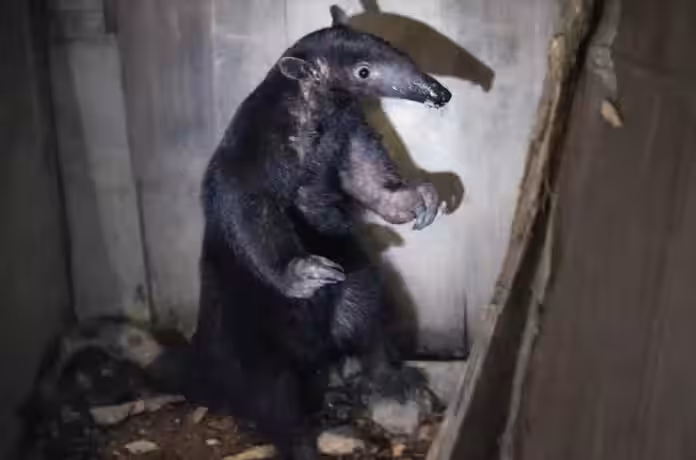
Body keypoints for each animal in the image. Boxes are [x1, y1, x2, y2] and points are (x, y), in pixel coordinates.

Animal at [187, 5, 452, 460]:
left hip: (353, 279)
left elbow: (369, 180)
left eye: (390, 45)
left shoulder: (349, 130)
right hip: (250, 331)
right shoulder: (254, 150)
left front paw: (422, 200)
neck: (315, 113)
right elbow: (250, 205)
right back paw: (299, 438)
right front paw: (306, 272)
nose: (440, 94)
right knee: (273, 392)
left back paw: (386, 378)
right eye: (363, 72)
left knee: (363, 311)